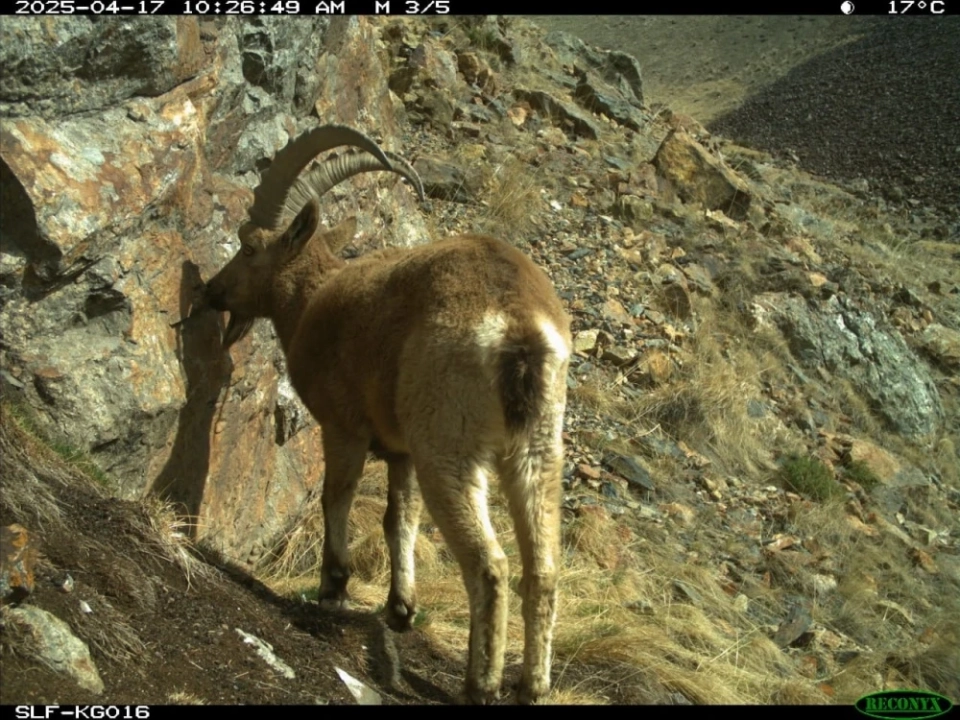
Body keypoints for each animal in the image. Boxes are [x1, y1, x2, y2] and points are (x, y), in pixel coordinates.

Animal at [204, 124, 571, 704]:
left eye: (249, 245)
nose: (210, 291)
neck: (312, 300)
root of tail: (519, 330)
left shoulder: (343, 426)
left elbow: (338, 495)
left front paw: (333, 585)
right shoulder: (401, 451)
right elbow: (399, 516)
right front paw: (400, 609)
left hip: (449, 445)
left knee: (490, 564)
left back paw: (480, 684)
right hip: (538, 447)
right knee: (543, 566)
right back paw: (532, 686)